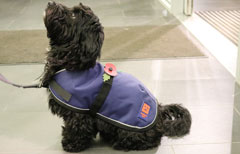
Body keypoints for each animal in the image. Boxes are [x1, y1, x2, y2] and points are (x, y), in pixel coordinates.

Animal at [40, 1, 191, 152]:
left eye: (73, 15)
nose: (51, 3)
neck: (72, 61)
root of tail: (160, 113)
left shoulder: (79, 112)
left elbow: (76, 129)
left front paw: (71, 144)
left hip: (130, 131)